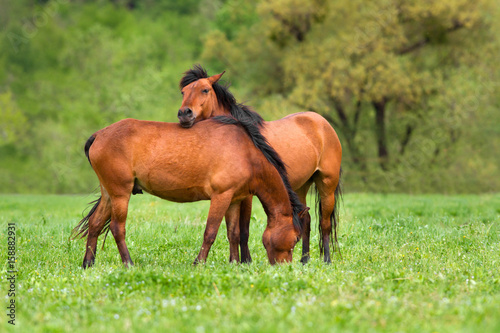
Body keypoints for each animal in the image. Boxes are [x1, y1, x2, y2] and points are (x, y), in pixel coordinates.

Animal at [70, 116, 306, 268]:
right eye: (296, 238)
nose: (285, 268)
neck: (246, 152)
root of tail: (99, 135)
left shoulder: (233, 200)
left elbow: (234, 234)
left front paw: (234, 264)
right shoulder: (221, 197)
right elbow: (210, 233)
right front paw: (198, 263)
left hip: (109, 194)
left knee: (96, 224)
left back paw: (88, 263)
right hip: (120, 194)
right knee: (118, 229)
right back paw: (128, 264)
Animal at [177, 64, 344, 262]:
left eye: (205, 90)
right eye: (183, 92)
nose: (184, 114)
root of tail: (322, 122)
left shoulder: (247, 195)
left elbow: (243, 230)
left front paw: (246, 261)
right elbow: (232, 230)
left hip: (327, 184)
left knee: (325, 224)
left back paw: (326, 260)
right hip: (300, 187)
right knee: (306, 220)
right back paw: (304, 260)